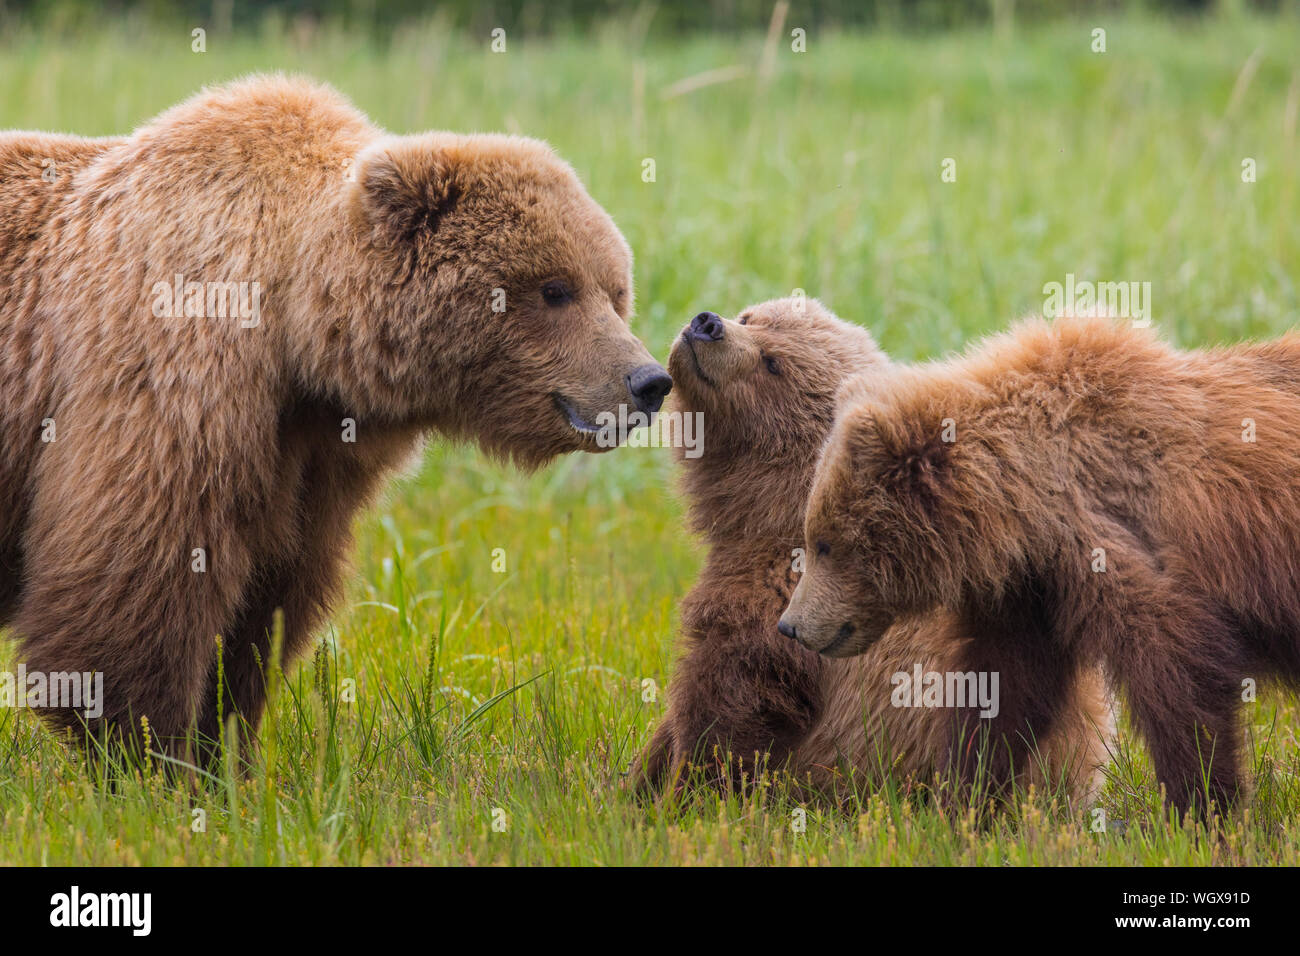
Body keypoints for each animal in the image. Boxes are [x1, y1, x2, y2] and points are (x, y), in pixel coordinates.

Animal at [0, 74, 670, 759]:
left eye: (615, 290)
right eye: (556, 289)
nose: (650, 381)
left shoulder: (310, 458)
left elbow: (267, 603)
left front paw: (226, 746)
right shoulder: (173, 383)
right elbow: (137, 580)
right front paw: (146, 751)